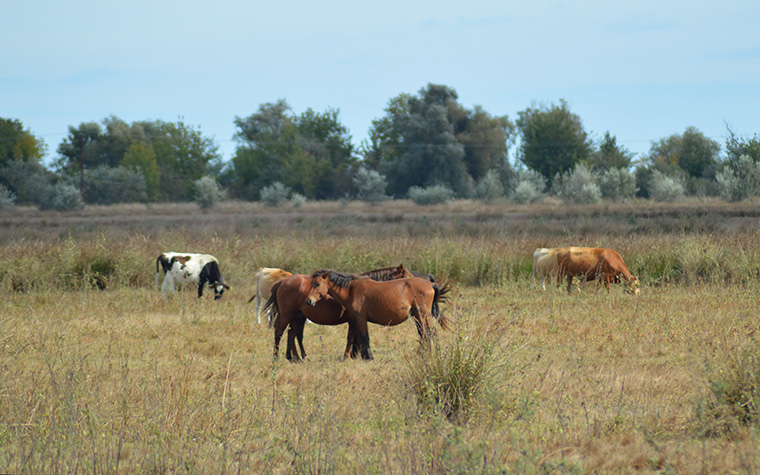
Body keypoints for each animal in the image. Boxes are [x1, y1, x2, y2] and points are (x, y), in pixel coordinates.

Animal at [264, 264, 412, 360]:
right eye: (405, 276)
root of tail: (282, 282)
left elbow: (356, 338)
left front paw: (356, 355)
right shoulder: (354, 320)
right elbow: (353, 338)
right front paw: (351, 356)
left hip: (297, 317)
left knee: (292, 334)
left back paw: (298, 358)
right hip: (287, 315)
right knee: (279, 332)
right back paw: (277, 357)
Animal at [302, 270, 446, 358]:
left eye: (318, 284)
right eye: (311, 283)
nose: (309, 301)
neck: (351, 290)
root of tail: (430, 284)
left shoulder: (361, 319)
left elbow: (365, 337)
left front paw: (368, 357)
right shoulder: (356, 320)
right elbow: (358, 338)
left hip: (423, 315)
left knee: (429, 333)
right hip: (418, 316)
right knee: (426, 333)